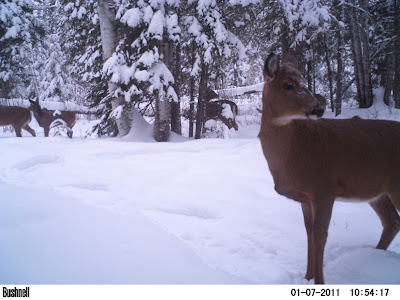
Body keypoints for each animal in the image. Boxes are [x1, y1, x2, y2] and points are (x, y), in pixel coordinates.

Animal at [260, 51, 400, 284]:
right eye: (288, 84)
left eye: (305, 81)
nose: (319, 108)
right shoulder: (305, 197)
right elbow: (309, 233)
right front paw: (307, 277)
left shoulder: (324, 189)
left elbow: (320, 236)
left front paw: (319, 281)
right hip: (377, 191)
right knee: (392, 222)